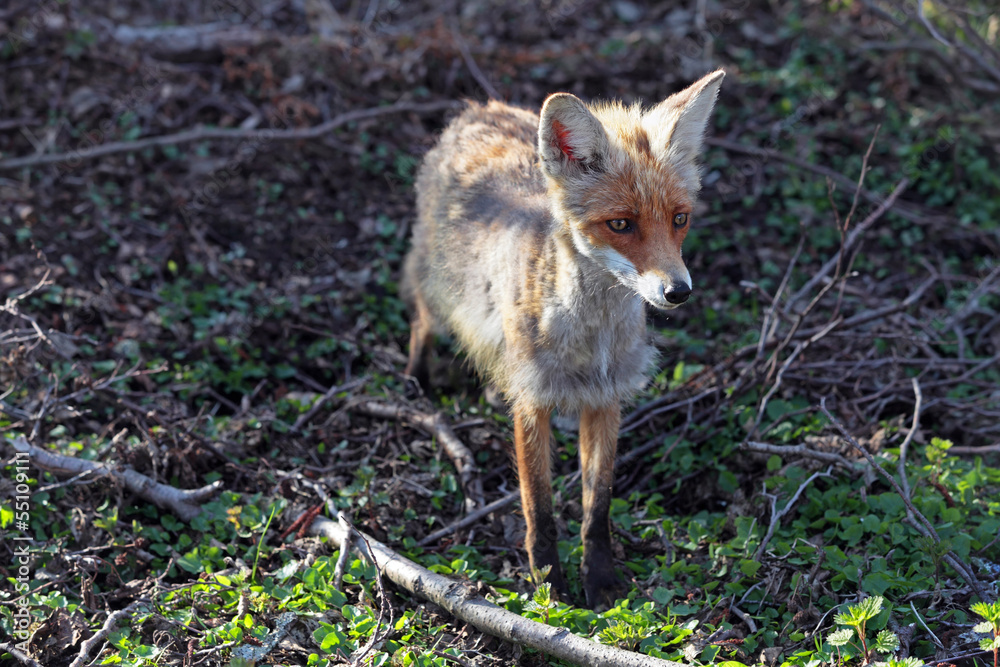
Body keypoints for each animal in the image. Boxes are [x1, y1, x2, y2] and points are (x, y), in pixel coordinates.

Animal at [402, 70, 725, 609]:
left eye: (679, 219)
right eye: (621, 224)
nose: (677, 292)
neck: (591, 344)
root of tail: (479, 108)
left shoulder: (606, 400)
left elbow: (598, 508)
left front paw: (601, 582)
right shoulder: (532, 402)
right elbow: (540, 507)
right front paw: (549, 587)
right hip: (439, 291)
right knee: (421, 322)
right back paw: (416, 381)